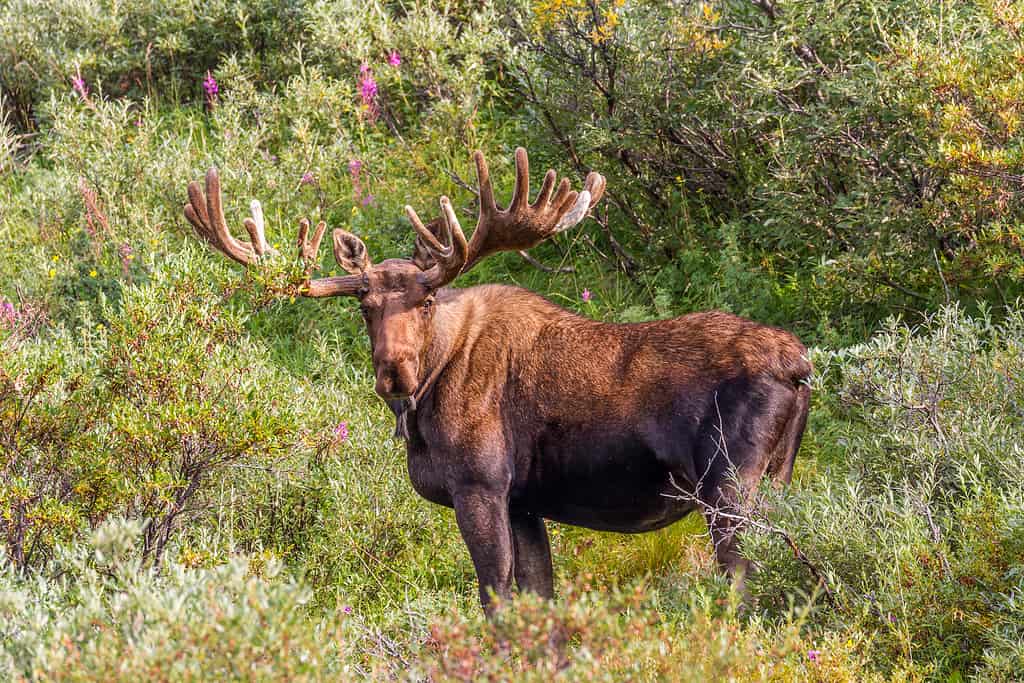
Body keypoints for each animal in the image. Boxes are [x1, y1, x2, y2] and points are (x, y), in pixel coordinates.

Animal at [182, 150, 806, 614]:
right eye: (364, 305)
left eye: (427, 299)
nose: (394, 374)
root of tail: (801, 367)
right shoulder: (524, 501)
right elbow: (537, 597)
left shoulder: (479, 485)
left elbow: (496, 600)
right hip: (776, 478)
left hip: (728, 485)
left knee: (746, 578)